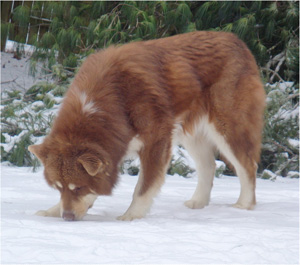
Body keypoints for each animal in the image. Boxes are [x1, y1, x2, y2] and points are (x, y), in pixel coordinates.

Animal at [28, 31, 264, 221]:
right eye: (57, 188)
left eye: (79, 187)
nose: (66, 218)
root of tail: (236, 40)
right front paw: (53, 210)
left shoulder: (156, 142)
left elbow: (142, 188)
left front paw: (131, 216)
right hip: (191, 135)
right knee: (209, 166)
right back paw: (198, 202)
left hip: (228, 129)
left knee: (247, 166)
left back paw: (244, 204)